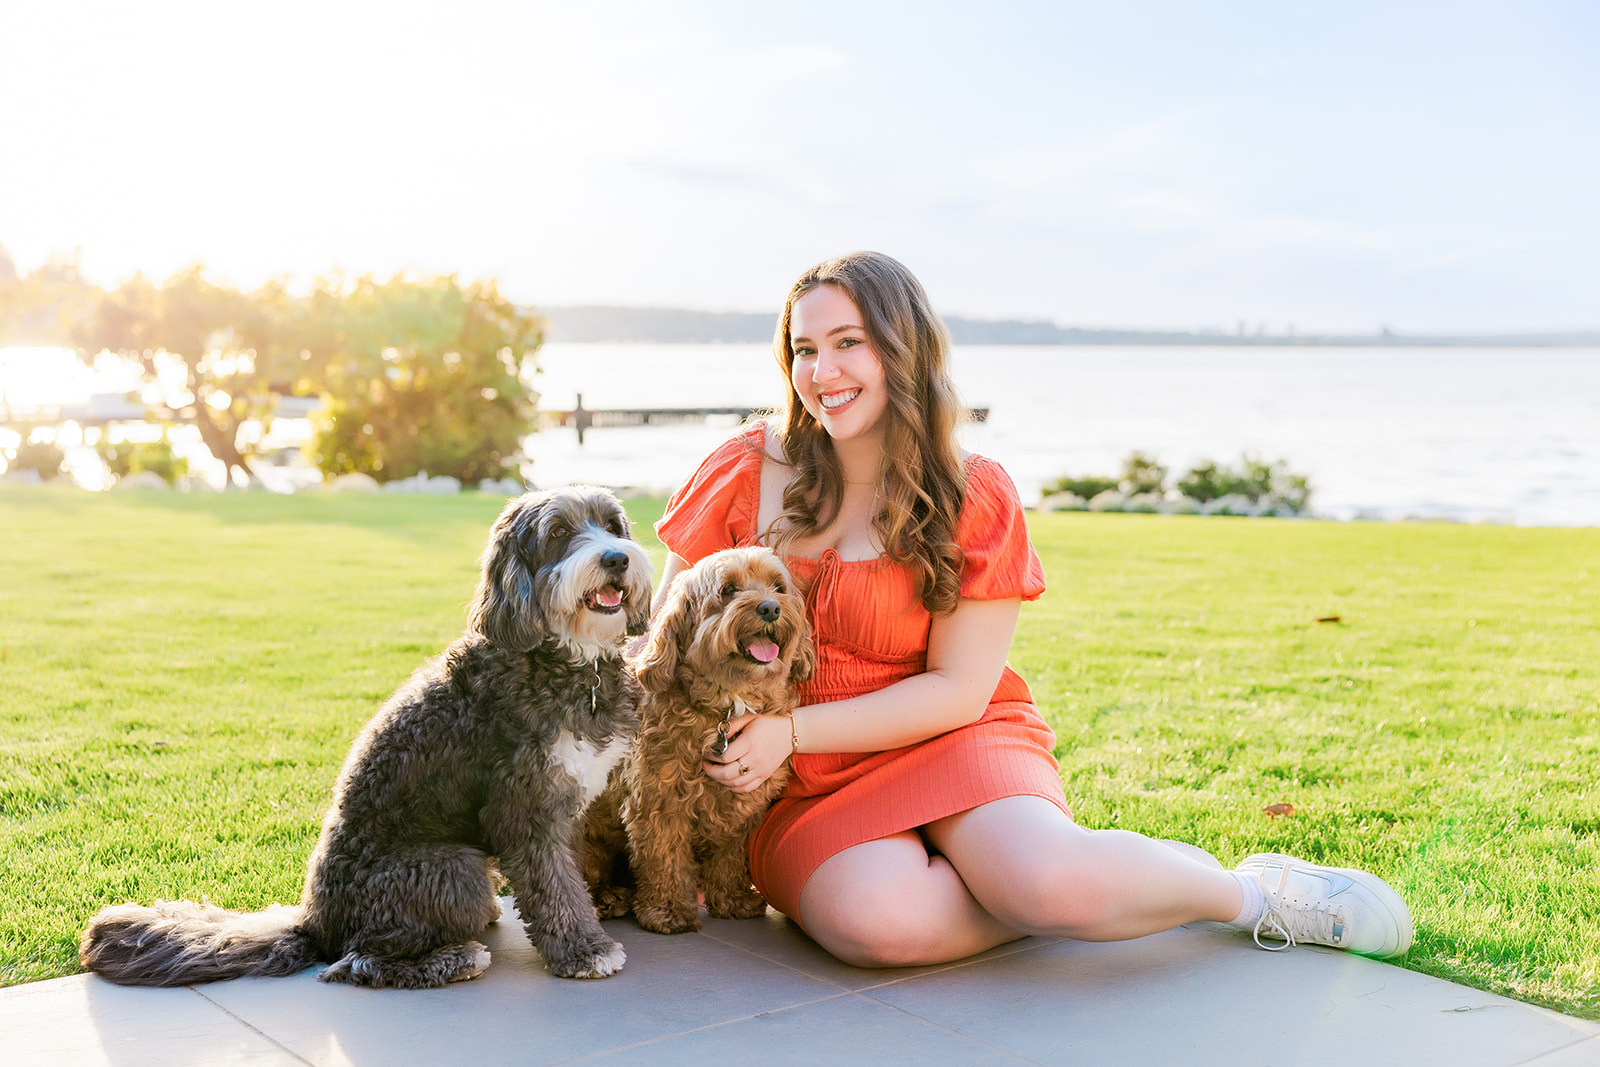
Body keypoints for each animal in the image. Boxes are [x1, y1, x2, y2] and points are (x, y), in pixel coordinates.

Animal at [78, 489, 652, 991]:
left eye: (612, 525)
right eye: (558, 533)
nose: (617, 558)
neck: (568, 662)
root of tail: (314, 922)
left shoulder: (568, 804)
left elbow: (570, 875)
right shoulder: (525, 809)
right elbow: (554, 888)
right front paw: (584, 951)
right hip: (451, 868)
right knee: (359, 962)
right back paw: (454, 958)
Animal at [585, 550, 812, 934]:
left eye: (778, 587)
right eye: (728, 589)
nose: (770, 608)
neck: (728, 704)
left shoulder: (744, 804)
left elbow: (730, 856)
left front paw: (733, 899)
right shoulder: (657, 802)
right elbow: (665, 857)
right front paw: (668, 910)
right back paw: (605, 897)